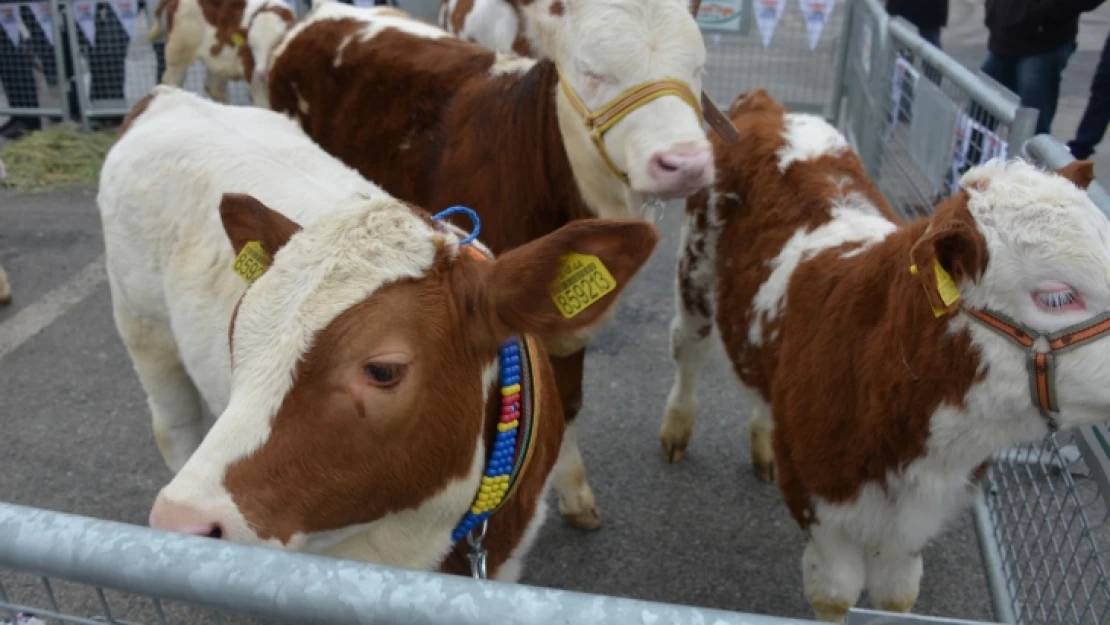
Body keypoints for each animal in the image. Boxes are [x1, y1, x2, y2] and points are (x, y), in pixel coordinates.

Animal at [97, 84, 657, 581]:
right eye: (238, 340)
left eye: (383, 370)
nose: (179, 523)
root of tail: (169, 98)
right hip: (142, 327)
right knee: (174, 425)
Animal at [147, 0, 297, 106]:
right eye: (251, 46)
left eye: (277, 43)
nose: (262, 73)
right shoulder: (256, 82)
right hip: (178, 52)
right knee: (170, 82)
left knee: (214, 88)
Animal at [657, 88, 1110, 621]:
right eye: (1057, 297)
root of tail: (766, 107)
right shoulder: (819, 501)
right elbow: (835, 594)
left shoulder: (921, 517)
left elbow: (897, 593)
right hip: (695, 271)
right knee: (688, 349)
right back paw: (676, 429)